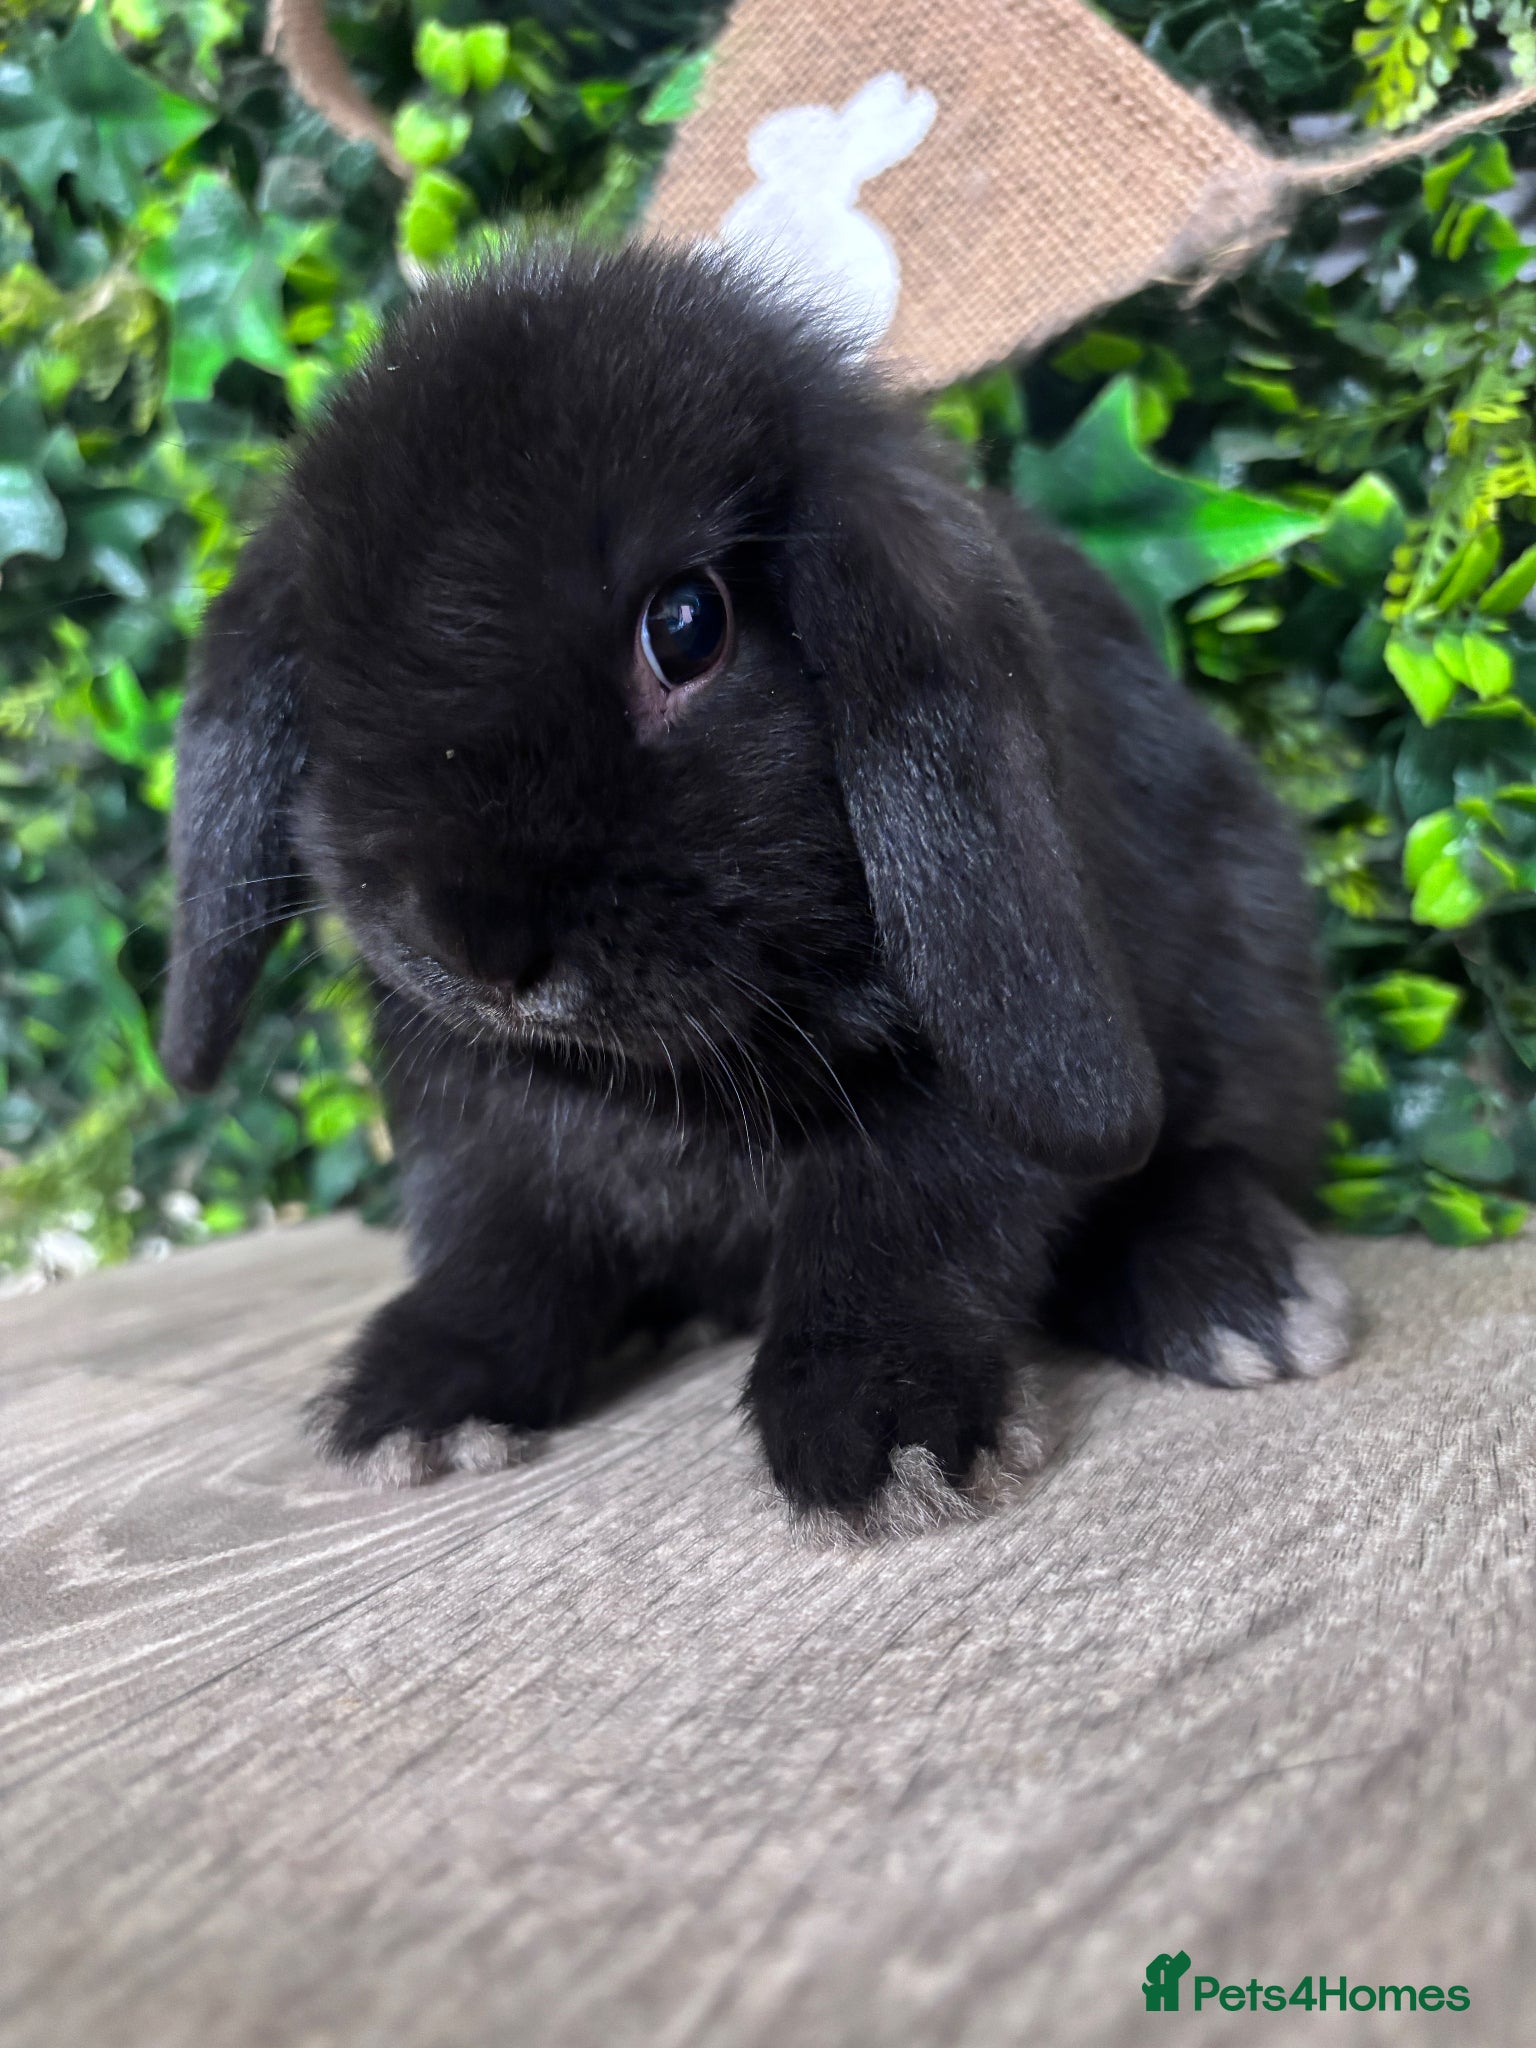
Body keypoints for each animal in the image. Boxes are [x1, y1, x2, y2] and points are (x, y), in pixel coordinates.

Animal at [162, 241, 1353, 1525]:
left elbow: (895, 1228)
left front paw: (884, 1434)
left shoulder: (949, 1097)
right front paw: (420, 1396)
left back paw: (1244, 1299)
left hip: (1253, 992)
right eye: (332, 667)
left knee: (1211, 1158)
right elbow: (498, 1241)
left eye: (686, 625)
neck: (659, 1079)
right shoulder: (478, 1110)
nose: (478, 947)